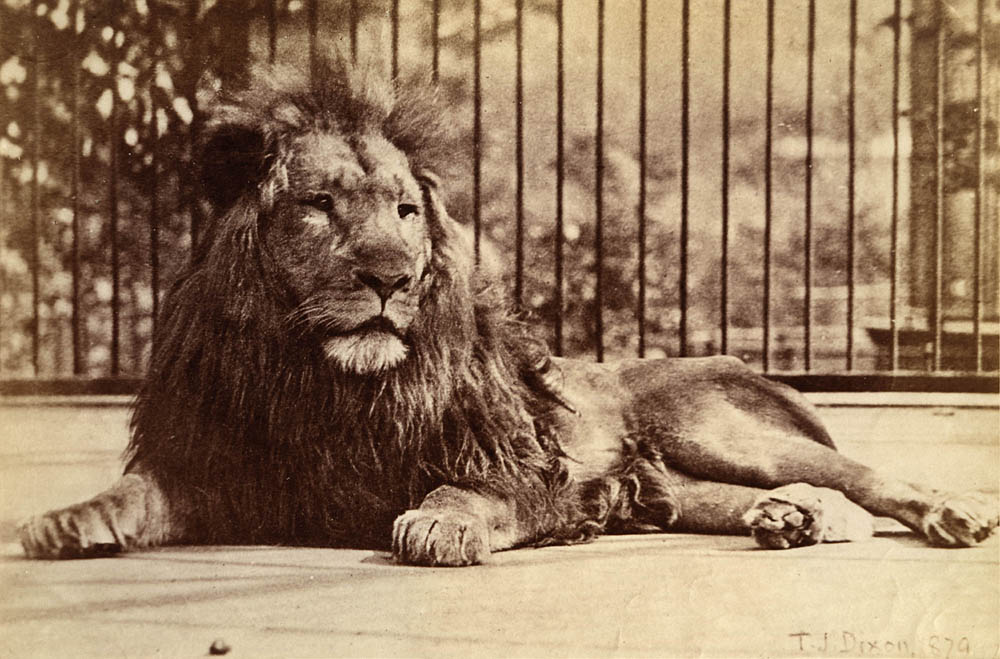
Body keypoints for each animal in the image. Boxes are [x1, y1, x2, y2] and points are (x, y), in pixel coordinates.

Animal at [19, 57, 997, 566]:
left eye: (406, 213)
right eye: (320, 206)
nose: (392, 276)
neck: (322, 382)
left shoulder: (533, 467)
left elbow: (472, 485)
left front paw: (439, 520)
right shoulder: (217, 466)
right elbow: (132, 490)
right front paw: (64, 519)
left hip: (714, 429)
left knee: (864, 474)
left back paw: (950, 512)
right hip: (677, 481)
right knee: (780, 498)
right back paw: (791, 521)